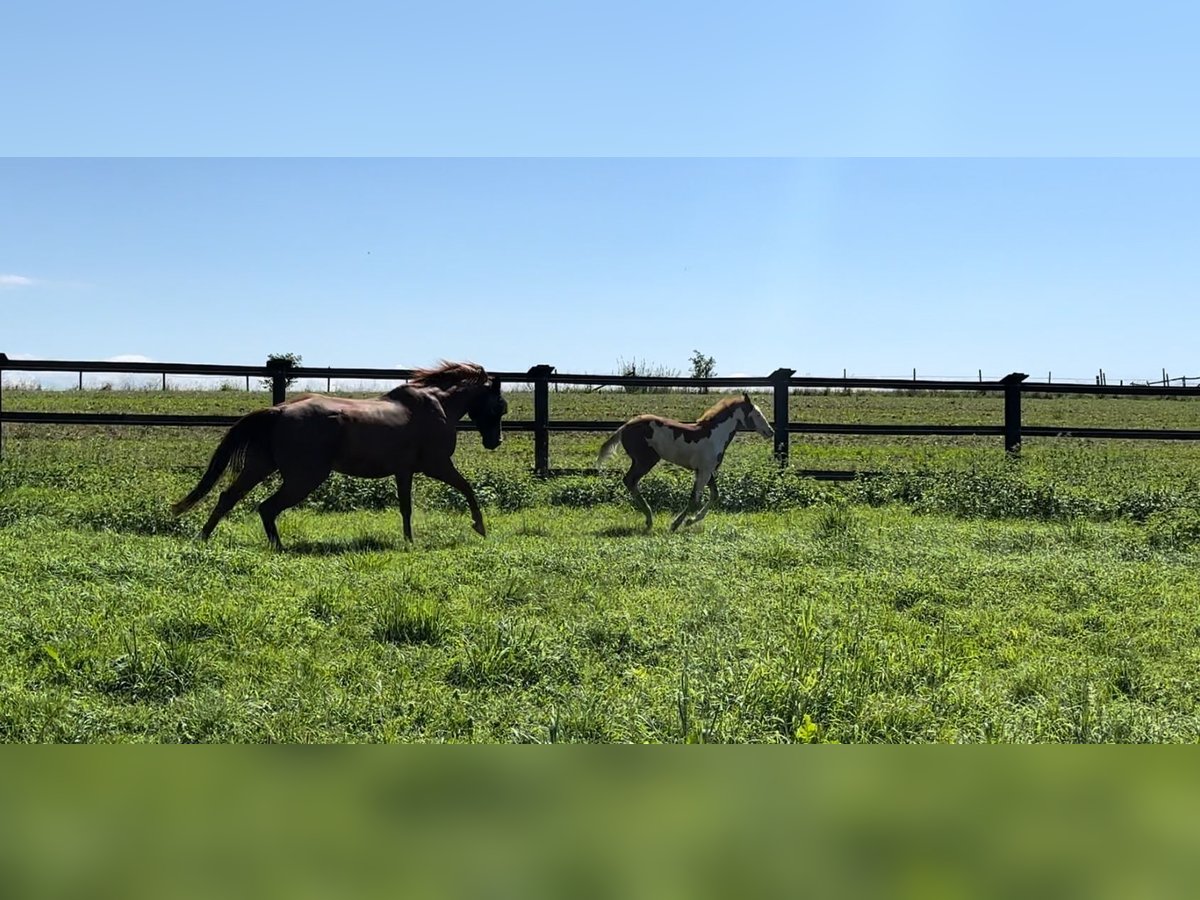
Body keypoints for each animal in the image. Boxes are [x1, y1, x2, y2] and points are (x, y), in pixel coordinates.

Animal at [172, 362, 506, 549]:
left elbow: (406, 508)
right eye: (498, 406)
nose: (495, 442)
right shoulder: (437, 465)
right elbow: (467, 488)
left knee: (228, 497)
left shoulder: (404, 471)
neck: (436, 404)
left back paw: (204, 538)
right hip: (304, 478)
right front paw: (480, 527)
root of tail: (278, 411)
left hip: (260, 467)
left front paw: (409, 540)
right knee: (266, 507)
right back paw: (278, 547)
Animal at [595, 393, 772, 532]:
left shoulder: (705, 471)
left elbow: (715, 495)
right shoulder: (704, 471)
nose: (770, 431)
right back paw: (649, 519)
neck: (714, 435)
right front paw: (677, 524)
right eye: (757, 414)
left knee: (629, 481)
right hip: (646, 460)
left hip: (641, 461)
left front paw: (689, 521)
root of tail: (624, 427)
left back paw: (648, 519)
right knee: (630, 480)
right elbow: (694, 500)